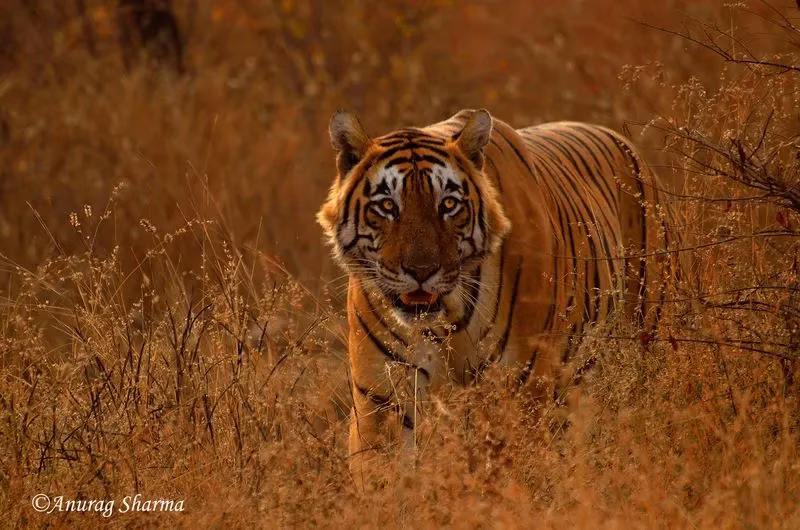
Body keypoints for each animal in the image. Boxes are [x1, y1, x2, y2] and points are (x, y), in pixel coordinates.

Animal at [317, 108, 674, 476]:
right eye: (387, 206)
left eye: (448, 204)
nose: (421, 271)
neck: (447, 318)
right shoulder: (381, 397)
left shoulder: (521, 387)